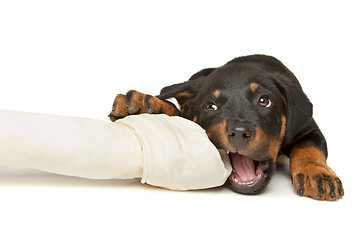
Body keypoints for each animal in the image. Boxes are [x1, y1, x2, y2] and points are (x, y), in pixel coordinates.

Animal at [109, 54, 344, 201]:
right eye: (210, 106)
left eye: (264, 101)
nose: (239, 133)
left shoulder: (307, 127)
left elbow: (308, 147)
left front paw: (318, 175)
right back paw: (143, 103)